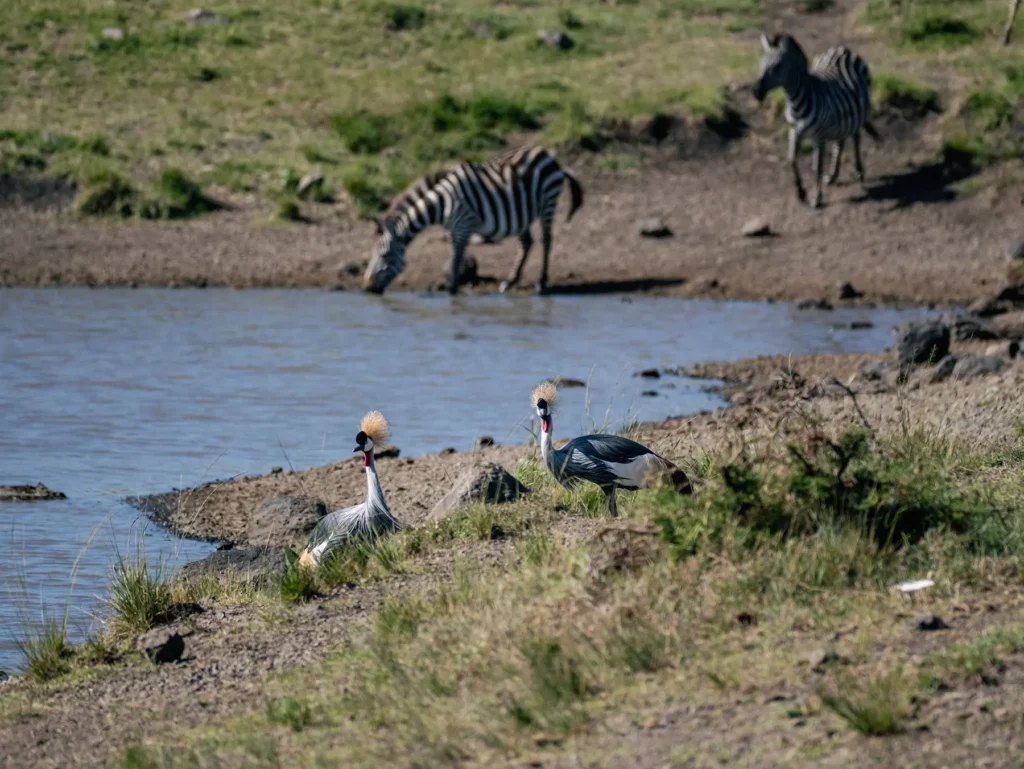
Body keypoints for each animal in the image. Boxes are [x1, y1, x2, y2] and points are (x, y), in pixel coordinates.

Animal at [363, 146, 584, 295]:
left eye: (384, 255)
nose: (366, 288)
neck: (442, 203)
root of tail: (549, 156)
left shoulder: (463, 226)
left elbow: (455, 262)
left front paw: (452, 292)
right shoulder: (453, 229)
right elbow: (455, 260)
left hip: (548, 201)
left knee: (546, 240)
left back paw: (542, 282)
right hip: (523, 213)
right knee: (526, 243)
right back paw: (510, 282)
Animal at [753, 34, 880, 209]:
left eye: (777, 67)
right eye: (761, 63)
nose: (755, 91)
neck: (795, 104)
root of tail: (842, 49)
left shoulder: (818, 136)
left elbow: (817, 167)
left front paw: (817, 198)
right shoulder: (794, 131)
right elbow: (791, 159)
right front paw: (801, 192)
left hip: (860, 112)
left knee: (856, 138)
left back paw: (859, 171)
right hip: (841, 118)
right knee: (840, 143)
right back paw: (833, 175)